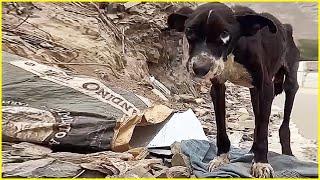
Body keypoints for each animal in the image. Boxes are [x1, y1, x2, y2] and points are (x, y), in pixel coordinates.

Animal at [168, 2, 300, 177]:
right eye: (189, 31)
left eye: (224, 34)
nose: (200, 69)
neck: (232, 52)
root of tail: (286, 27)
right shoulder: (217, 87)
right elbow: (221, 127)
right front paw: (221, 158)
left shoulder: (266, 88)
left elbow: (263, 129)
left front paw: (261, 163)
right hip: (254, 93)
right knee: (257, 118)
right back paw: (251, 150)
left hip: (290, 83)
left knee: (283, 123)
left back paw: (287, 153)